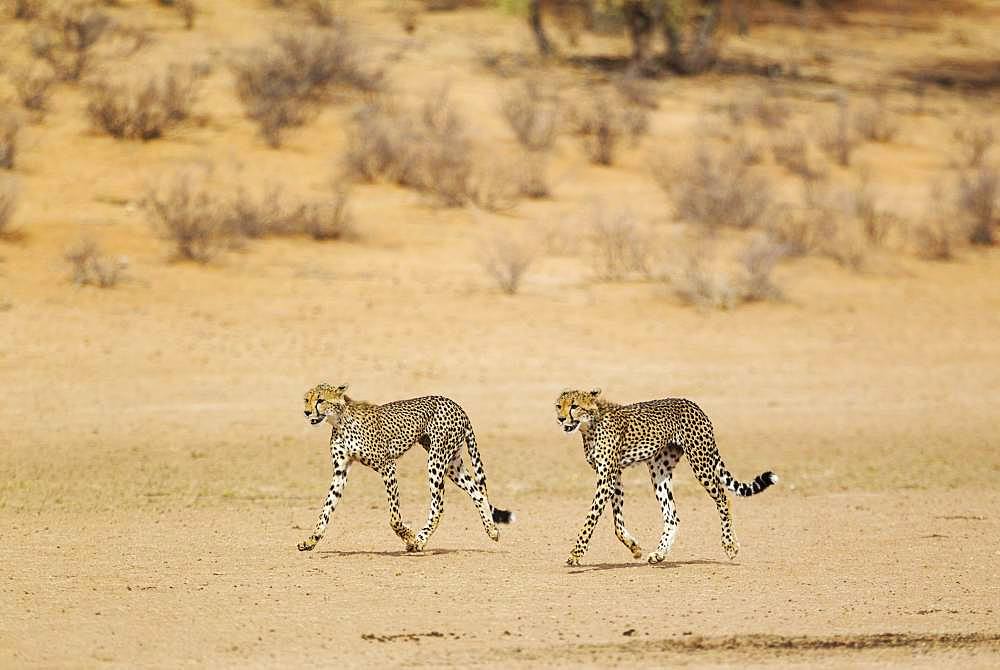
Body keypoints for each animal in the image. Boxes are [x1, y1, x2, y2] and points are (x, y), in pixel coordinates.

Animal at [296, 386, 512, 552]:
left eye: (321, 400)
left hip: (436, 460)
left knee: (439, 505)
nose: (306, 412)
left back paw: (420, 541)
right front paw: (311, 540)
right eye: (307, 399)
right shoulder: (340, 472)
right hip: (451, 463)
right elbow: (326, 508)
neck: (339, 421)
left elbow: (394, 518)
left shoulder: (387, 466)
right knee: (478, 492)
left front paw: (409, 536)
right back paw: (492, 530)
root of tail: (456, 405)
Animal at [556, 388, 780, 568]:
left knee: (723, 499)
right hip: (659, 471)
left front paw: (576, 554)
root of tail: (691, 403)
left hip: (701, 462)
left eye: (574, 406)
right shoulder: (614, 476)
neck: (590, 426)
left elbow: (591, 517)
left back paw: (730, 545)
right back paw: (659, 554)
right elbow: (617, 523)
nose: (560, 419)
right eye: (559, 406)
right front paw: (635, 547)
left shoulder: (607, 477)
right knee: (672, 516)